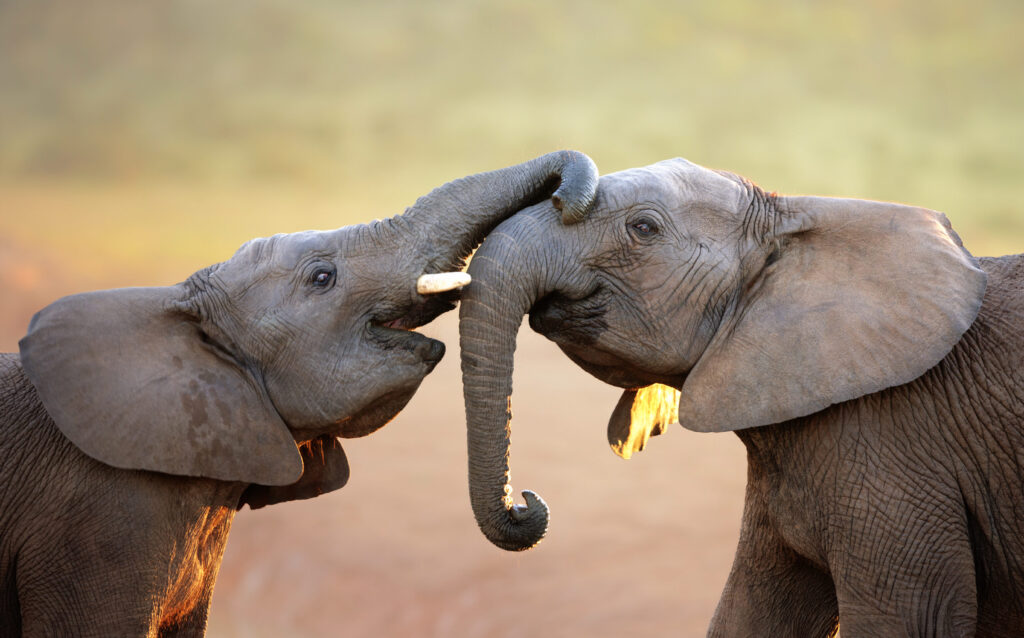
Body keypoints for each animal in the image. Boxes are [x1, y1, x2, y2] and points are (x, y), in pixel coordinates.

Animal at [460, 157, 1024, 634]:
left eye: (643, 228)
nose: (525, 504)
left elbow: (908, 620)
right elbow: (750, 614)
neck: (795, 219)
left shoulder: (894, 445)